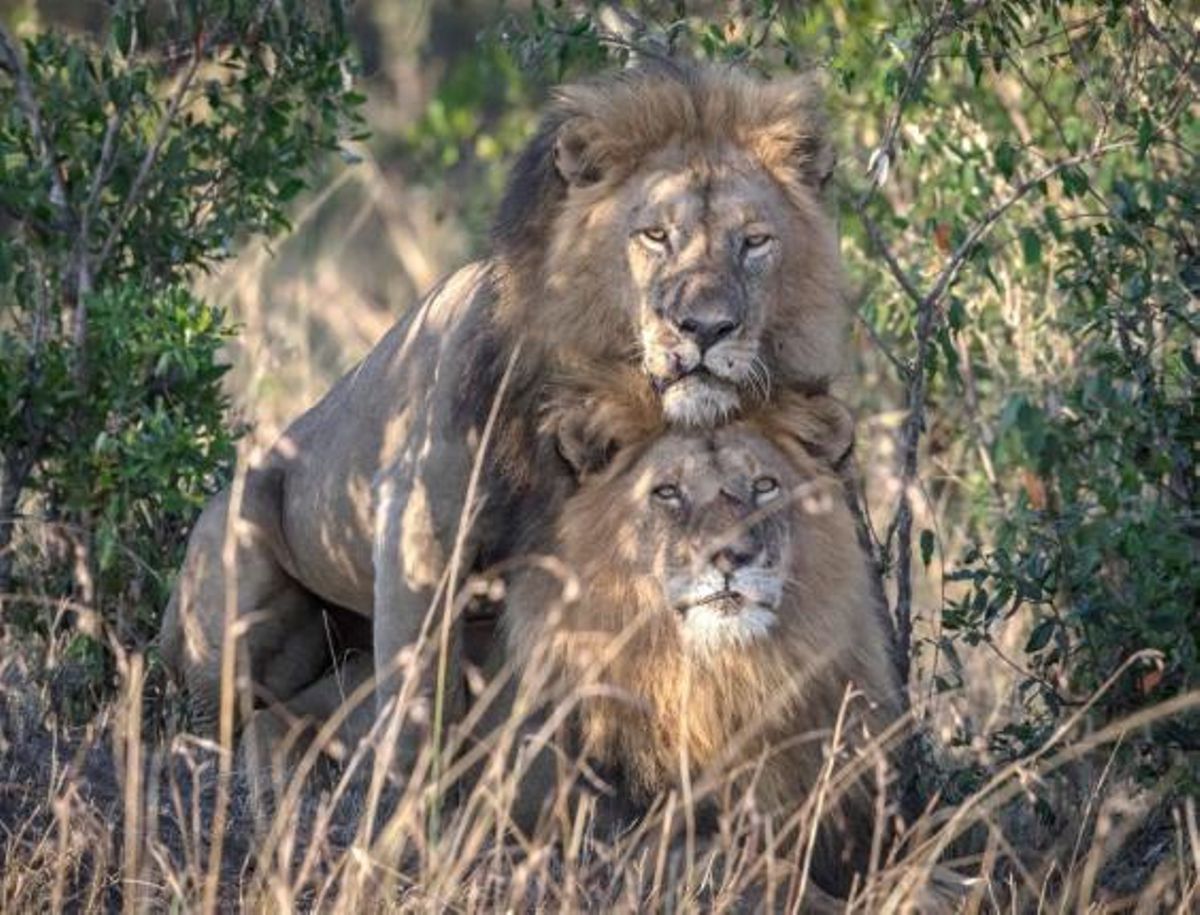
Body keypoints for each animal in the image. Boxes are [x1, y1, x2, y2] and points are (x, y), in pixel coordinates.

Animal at [159, 60, 848, 764]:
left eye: (754, 242)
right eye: (656, 236)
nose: (706, 328)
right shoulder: (417, 530)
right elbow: (417, 710)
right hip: (234, 570)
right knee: (220, 718)